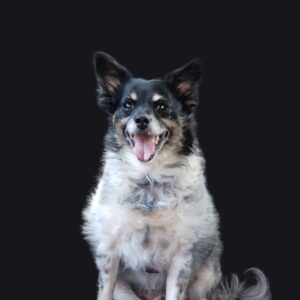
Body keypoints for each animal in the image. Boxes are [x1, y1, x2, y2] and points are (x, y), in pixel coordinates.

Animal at [81, 52, 270, 300]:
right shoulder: (109, 252)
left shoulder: (181, 258)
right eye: (128, 105)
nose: (142, 120)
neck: (148, 180)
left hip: (205, 278)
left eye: (162, 106)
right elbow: (105, 291)